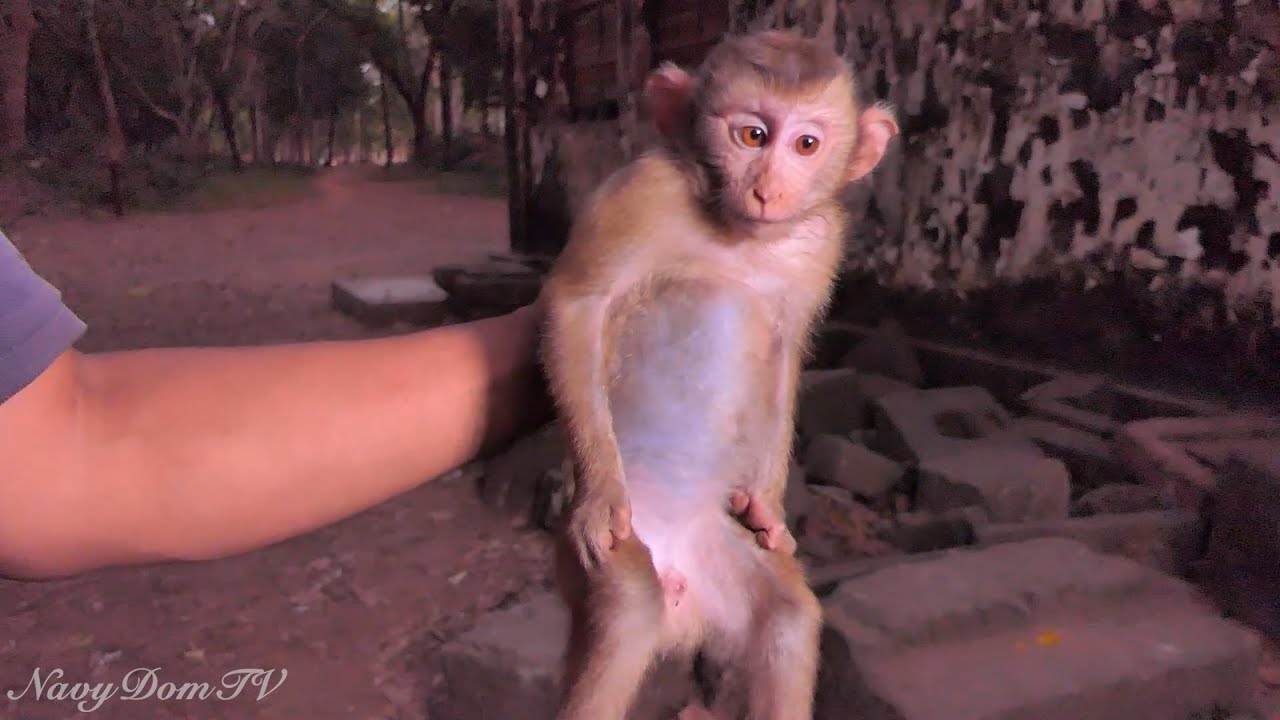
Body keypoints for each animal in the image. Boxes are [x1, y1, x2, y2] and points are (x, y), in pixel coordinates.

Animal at [539, 29, 899, 720]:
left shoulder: (821, 241)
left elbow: (786, 350)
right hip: (604, 556)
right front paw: (596, 494)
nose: (767, 189)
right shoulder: (642, 189)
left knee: (788, 617)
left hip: (714, 551)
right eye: (752, 135)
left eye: (806, 144)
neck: (739, 236)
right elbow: (577, 304)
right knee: (630, 607)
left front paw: (767, 508)